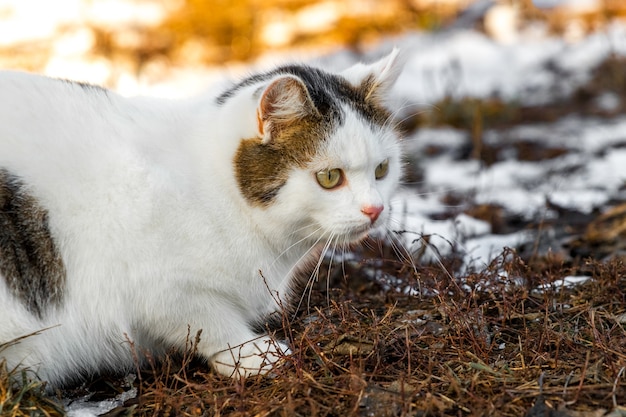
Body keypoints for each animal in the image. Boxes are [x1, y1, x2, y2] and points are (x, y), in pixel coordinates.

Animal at [0, 49, 400, 386]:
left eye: (382, 169)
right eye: (330, 177)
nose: (375, 209)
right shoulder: (160, 284)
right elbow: (210, 324)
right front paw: (255, 357)